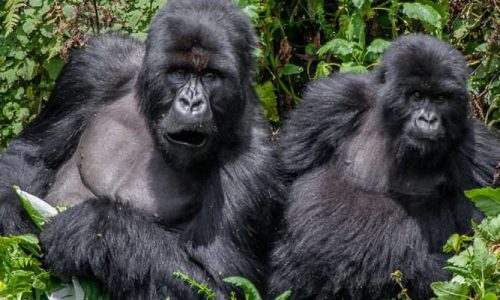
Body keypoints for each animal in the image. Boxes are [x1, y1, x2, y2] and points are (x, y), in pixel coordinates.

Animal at [0, 1, 284, 298]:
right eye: (180, 73)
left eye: (210, 76)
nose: (191, 103)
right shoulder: (97, 64)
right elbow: (32, 154)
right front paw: (17, 217)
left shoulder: (252, 166)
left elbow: (219, 285)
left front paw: (90, 227)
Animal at [270, 34, 500, 298]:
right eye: (417, 95)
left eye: (441, 98)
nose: (428, 119)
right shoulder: (333, 101)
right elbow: (288, 169)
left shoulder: (479, 156)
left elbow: (477, 240)